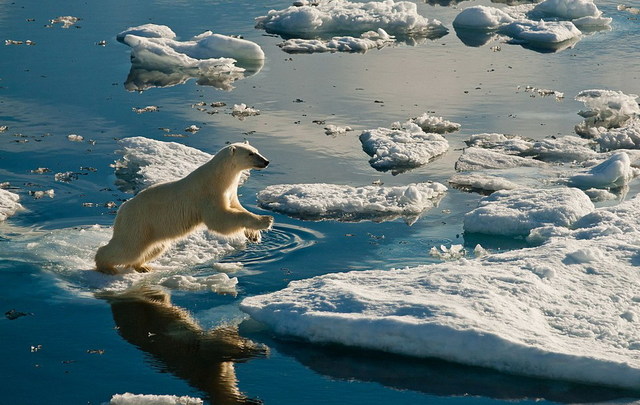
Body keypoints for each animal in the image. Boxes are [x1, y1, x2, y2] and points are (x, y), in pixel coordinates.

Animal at [95, 140, 272, 274]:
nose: (266, 161)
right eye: (250, 153)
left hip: (151, 229)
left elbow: (237, 208)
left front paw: (254, 234)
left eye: (256, 150)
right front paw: (266, 220)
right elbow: (219, 220)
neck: (220, 177)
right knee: (128, 248)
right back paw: (106, 266)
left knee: (153, 248)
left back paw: (142, 266)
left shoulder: (229, 192)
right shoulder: (208, 193)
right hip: (138, 222)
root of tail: (122, 210)